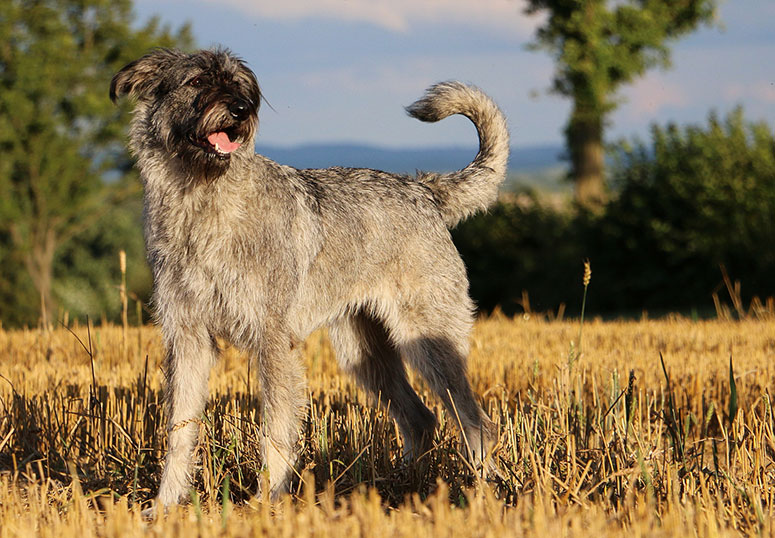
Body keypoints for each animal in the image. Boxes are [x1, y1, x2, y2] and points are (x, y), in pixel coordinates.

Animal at [109, 48, 510, 504]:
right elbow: (179, 431)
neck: (202, 201)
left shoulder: (272, 341)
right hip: (365, 356)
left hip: (429, 345)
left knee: (476, 422)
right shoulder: (187, 339)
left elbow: (275, 433)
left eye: (239, 85)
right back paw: (400, 486)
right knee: (420, 419)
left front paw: (268, 502)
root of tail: (425, 190)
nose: (242, 110)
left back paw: (482, 489)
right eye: (196, 81)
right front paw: (166, 505)